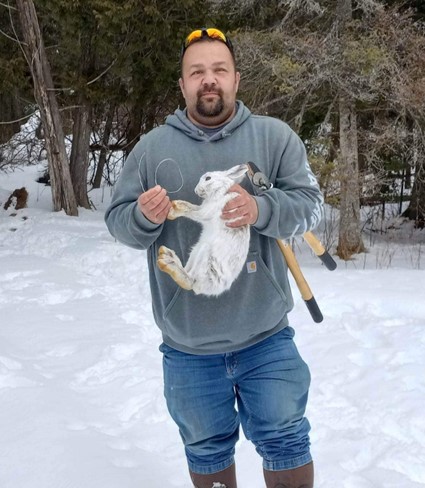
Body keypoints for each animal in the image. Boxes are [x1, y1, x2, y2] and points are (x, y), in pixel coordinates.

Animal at [157, 164, 250, 296]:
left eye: (208, 178)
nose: (196, 190)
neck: (221, 189)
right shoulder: (204, 208)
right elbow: (192, 207)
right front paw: (173, 208)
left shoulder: (206, 212)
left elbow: (193, 211)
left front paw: (175, 208)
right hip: (196, 250)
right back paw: (167, 256)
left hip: (205, 253)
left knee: (190, 282)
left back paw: (166, 263)